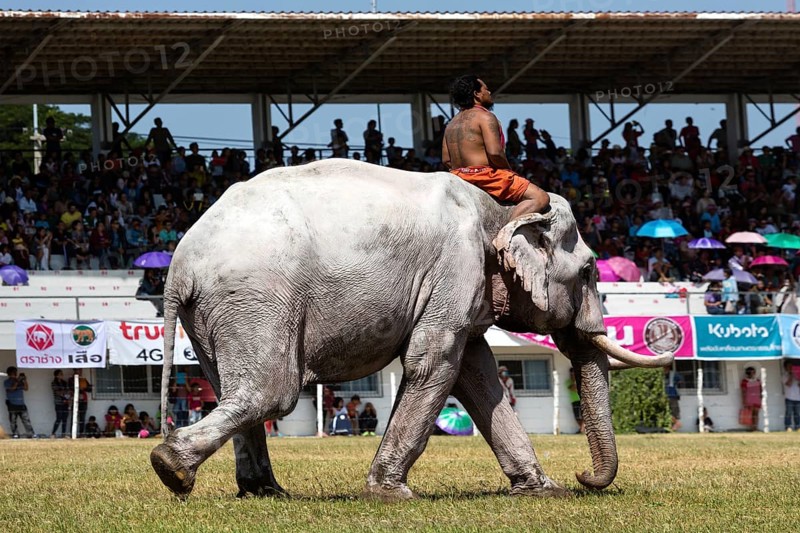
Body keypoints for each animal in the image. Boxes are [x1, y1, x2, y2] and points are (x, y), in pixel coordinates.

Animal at [150, 159, 672, 501]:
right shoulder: (455, 266)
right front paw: (390, 494)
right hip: (256, 296)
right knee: (270, 392)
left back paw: (263, 492)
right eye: (588, 270)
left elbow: (477, 374)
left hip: (220, 313)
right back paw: (171, 468)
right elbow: (436, 361)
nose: (584, 477)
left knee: (231, 388)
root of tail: (180, 264)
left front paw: (543, 491)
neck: (500, 207)